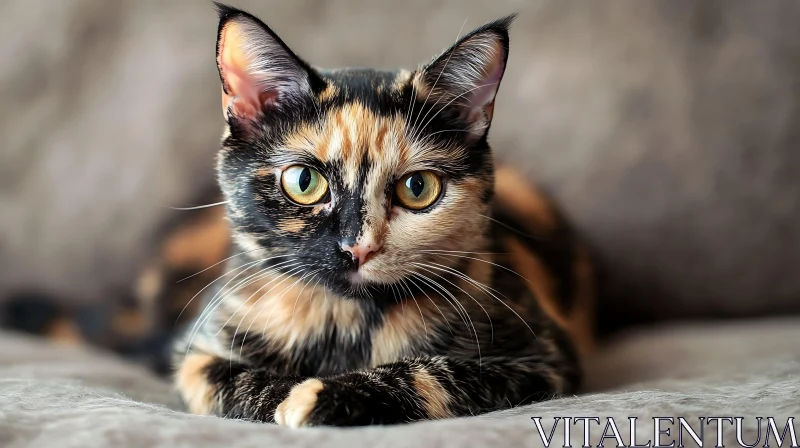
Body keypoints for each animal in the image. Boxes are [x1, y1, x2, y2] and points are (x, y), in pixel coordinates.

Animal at [173, 3, 592, 428]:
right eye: (304, 181)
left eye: (417, 188)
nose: (358, 248)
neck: (347, 322)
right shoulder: (197, 353)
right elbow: (230, 379)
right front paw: (284, 395)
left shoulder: (543, 360)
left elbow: (435, 373)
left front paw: (320, 396)